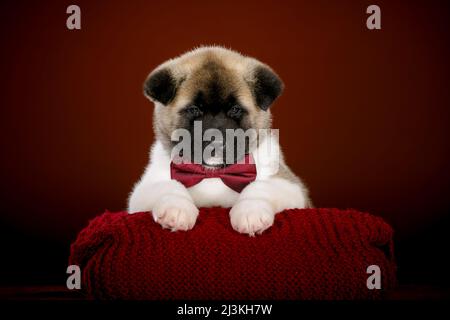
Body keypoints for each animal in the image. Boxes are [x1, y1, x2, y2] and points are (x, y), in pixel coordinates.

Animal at [126, 46, 310, 235]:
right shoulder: (142, 191)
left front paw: (251, 211)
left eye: (235, 109)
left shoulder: (291, 187)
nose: (215, 143)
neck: (213, 175)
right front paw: (175, 208)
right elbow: (169, 185)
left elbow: (259, 187)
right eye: (194, 109)